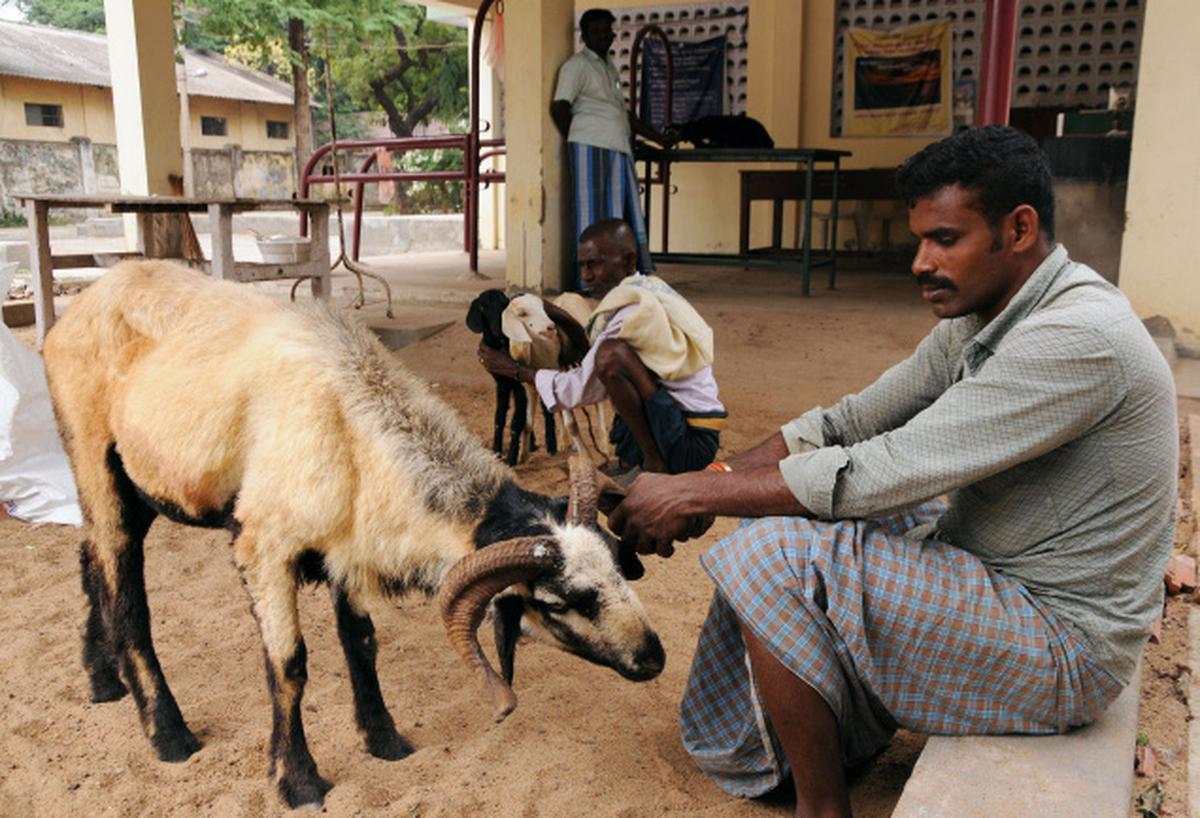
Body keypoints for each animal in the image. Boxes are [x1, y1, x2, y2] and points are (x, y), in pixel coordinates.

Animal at [42, 257, 662, 806]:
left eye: (617, 563)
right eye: (556, 602)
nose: (654, 658)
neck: (348, 410)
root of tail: (85, 302)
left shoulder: (350, 542)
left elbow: (361, 645)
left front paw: (385, 740)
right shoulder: (262, 548)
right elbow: (288, 666)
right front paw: (298, 782)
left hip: (143, 482)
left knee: (89, 556)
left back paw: (102, 678)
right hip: (95, 460)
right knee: (124, 593)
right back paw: (168, 734)